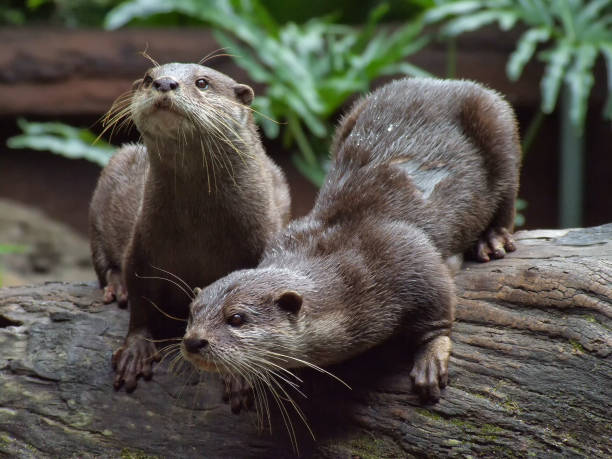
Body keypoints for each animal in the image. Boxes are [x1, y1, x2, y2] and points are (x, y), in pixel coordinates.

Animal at [88, 62, 292, 392]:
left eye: (202, 82)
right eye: (148, 77)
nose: (164, 83)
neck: (199, 232)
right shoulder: (143, 244)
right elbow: (140, 301)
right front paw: (135, 352)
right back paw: (116, 287)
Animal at [179, 77, 520, 412]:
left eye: (236, 318)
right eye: (192, 313)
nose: (193, 341)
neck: (347, 275)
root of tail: (439, 82)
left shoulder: (408, 255)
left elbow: (439, 310)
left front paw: (431, 359)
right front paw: (239, 378)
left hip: (496, 122)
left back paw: (493, 239)